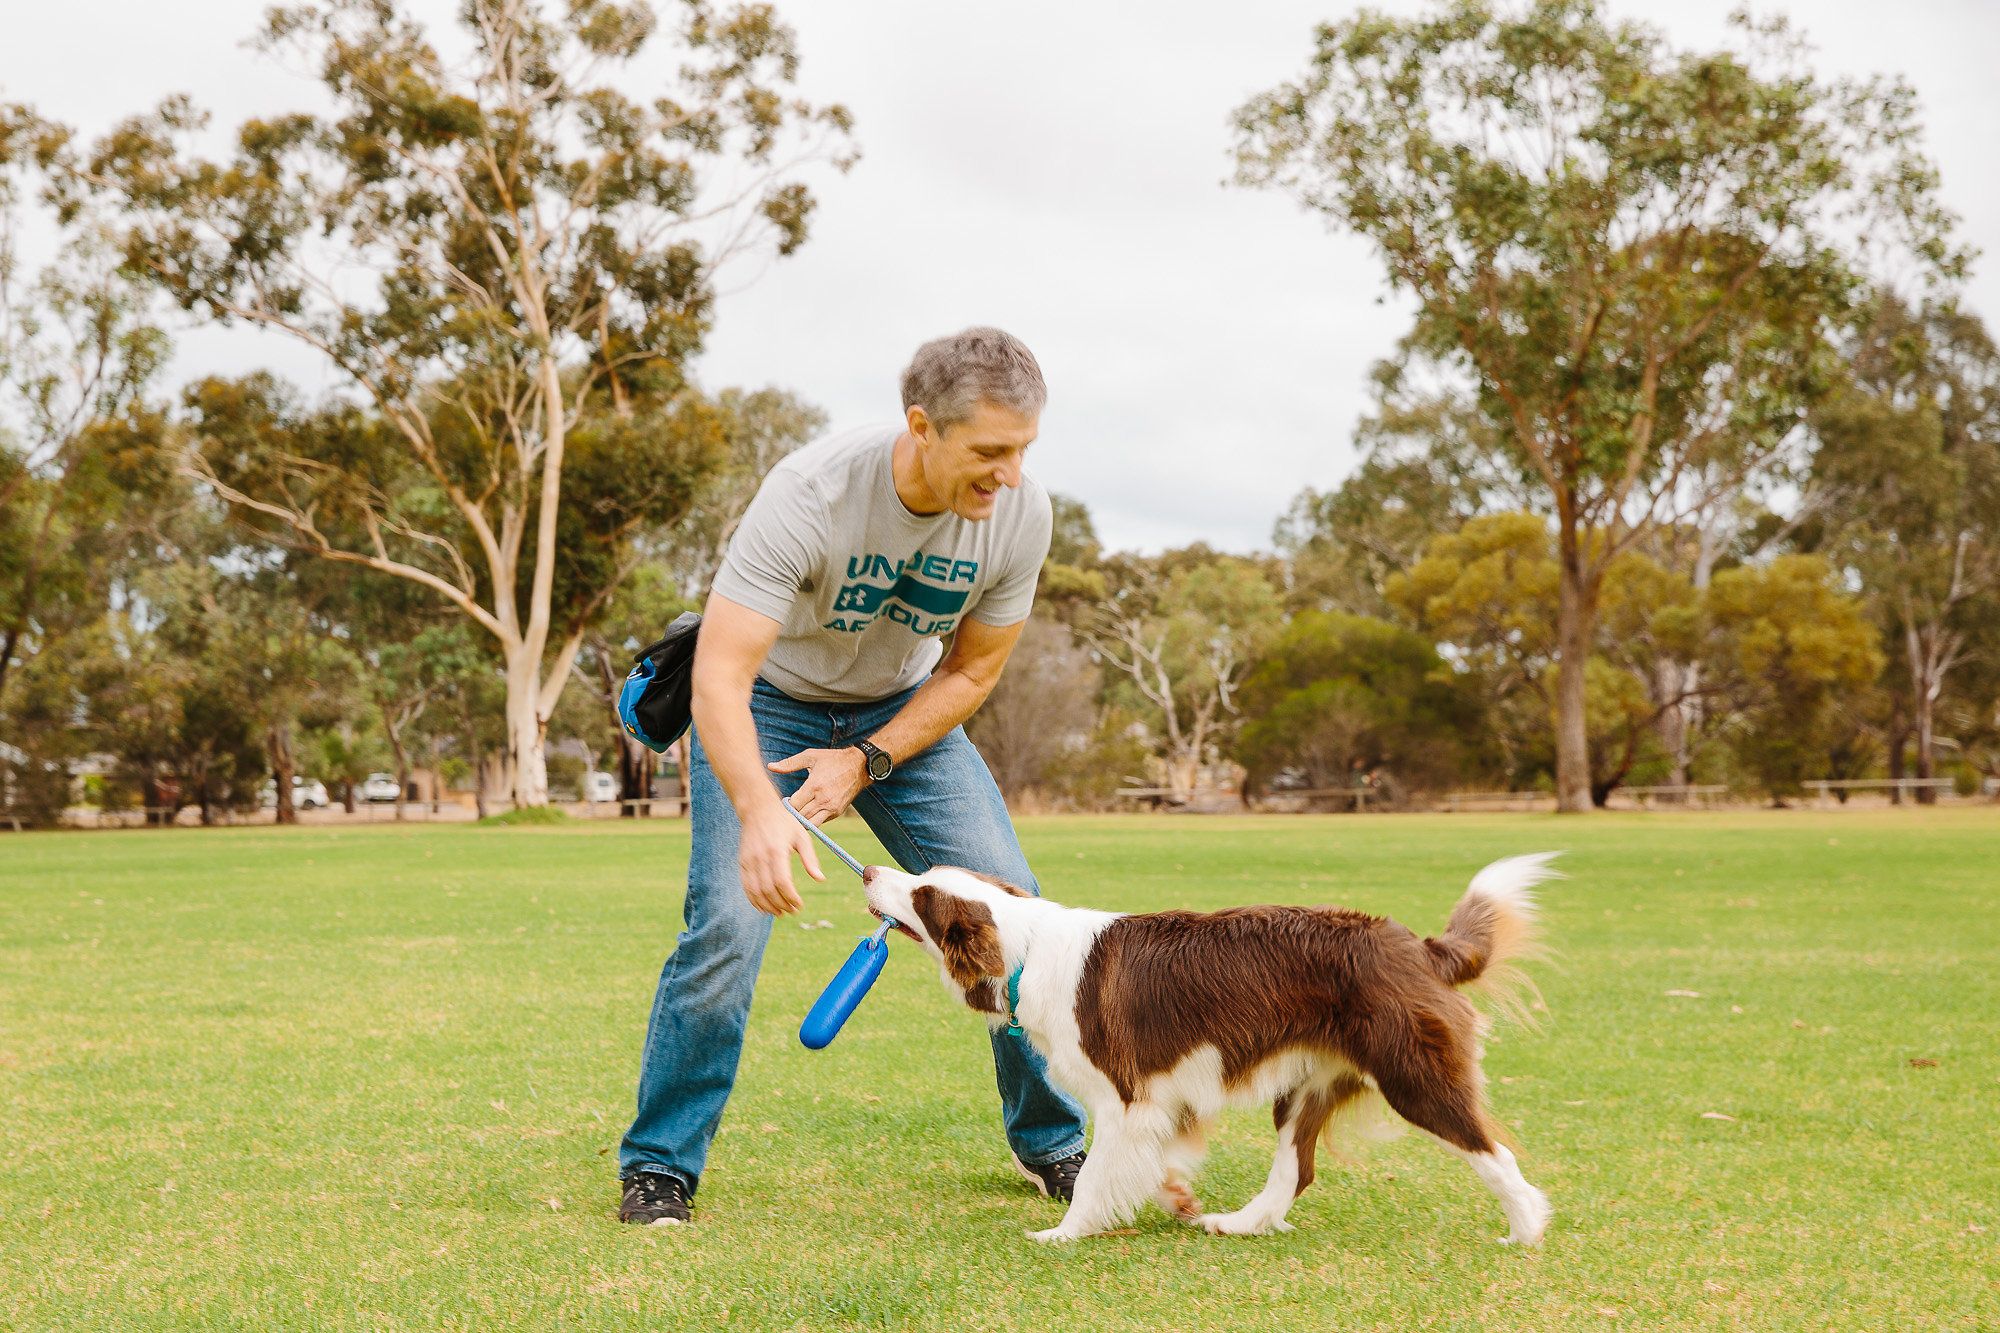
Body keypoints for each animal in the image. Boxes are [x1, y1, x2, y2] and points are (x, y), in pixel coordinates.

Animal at [852, 852, 1552, 1248]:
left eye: (920, 896)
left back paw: (1526, 1231)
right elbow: (1151, 1161)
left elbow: (1096, 1176)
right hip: (1310, 1080)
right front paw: (1176, 1198)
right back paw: (1240, 1223)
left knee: (1494, 1151)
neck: (1025, 944)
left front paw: (1063, 1233)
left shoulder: (1126, 1097)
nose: (870, 872)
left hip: (1412, 1070)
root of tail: (1419, 947)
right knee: (1296, 1169)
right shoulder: (1161, 1100)